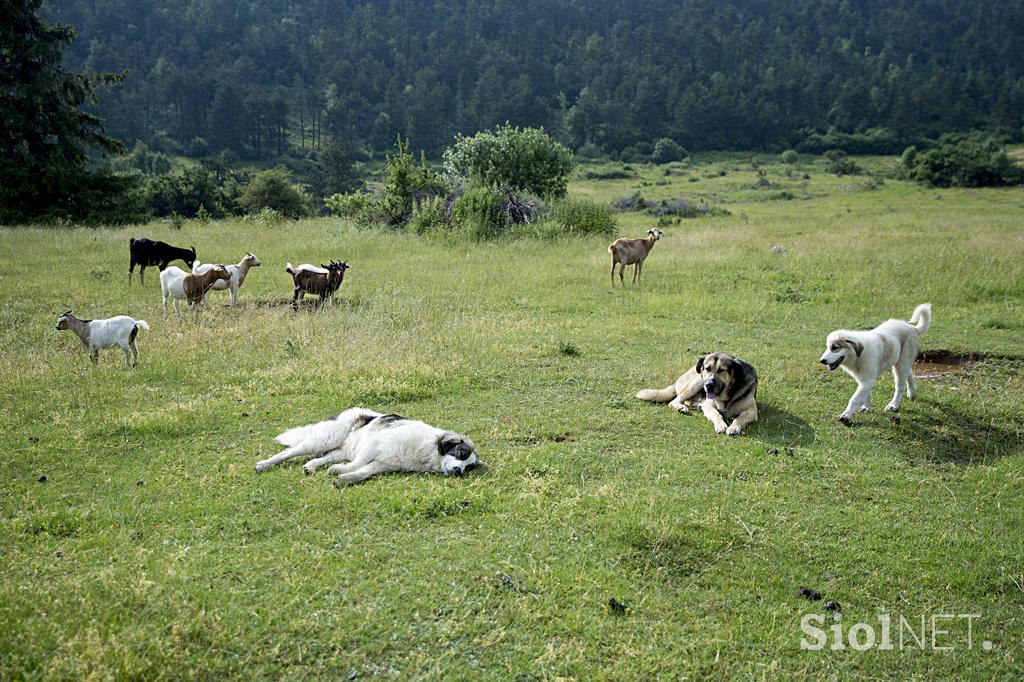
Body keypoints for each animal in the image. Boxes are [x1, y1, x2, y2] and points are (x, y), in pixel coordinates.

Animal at [253, 403, 481, 483]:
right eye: (460, 454)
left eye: (469, 468)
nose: (459, 472)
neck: (428, 451)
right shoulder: (374, 444)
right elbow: (359, 463)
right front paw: (341, 471)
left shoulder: (384, 464)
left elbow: (364, 471)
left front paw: (346, 476)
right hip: (324, 439)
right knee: (291, 452)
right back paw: (263, 464)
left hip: (340, 449)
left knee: (325, 457)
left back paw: (312, 466)